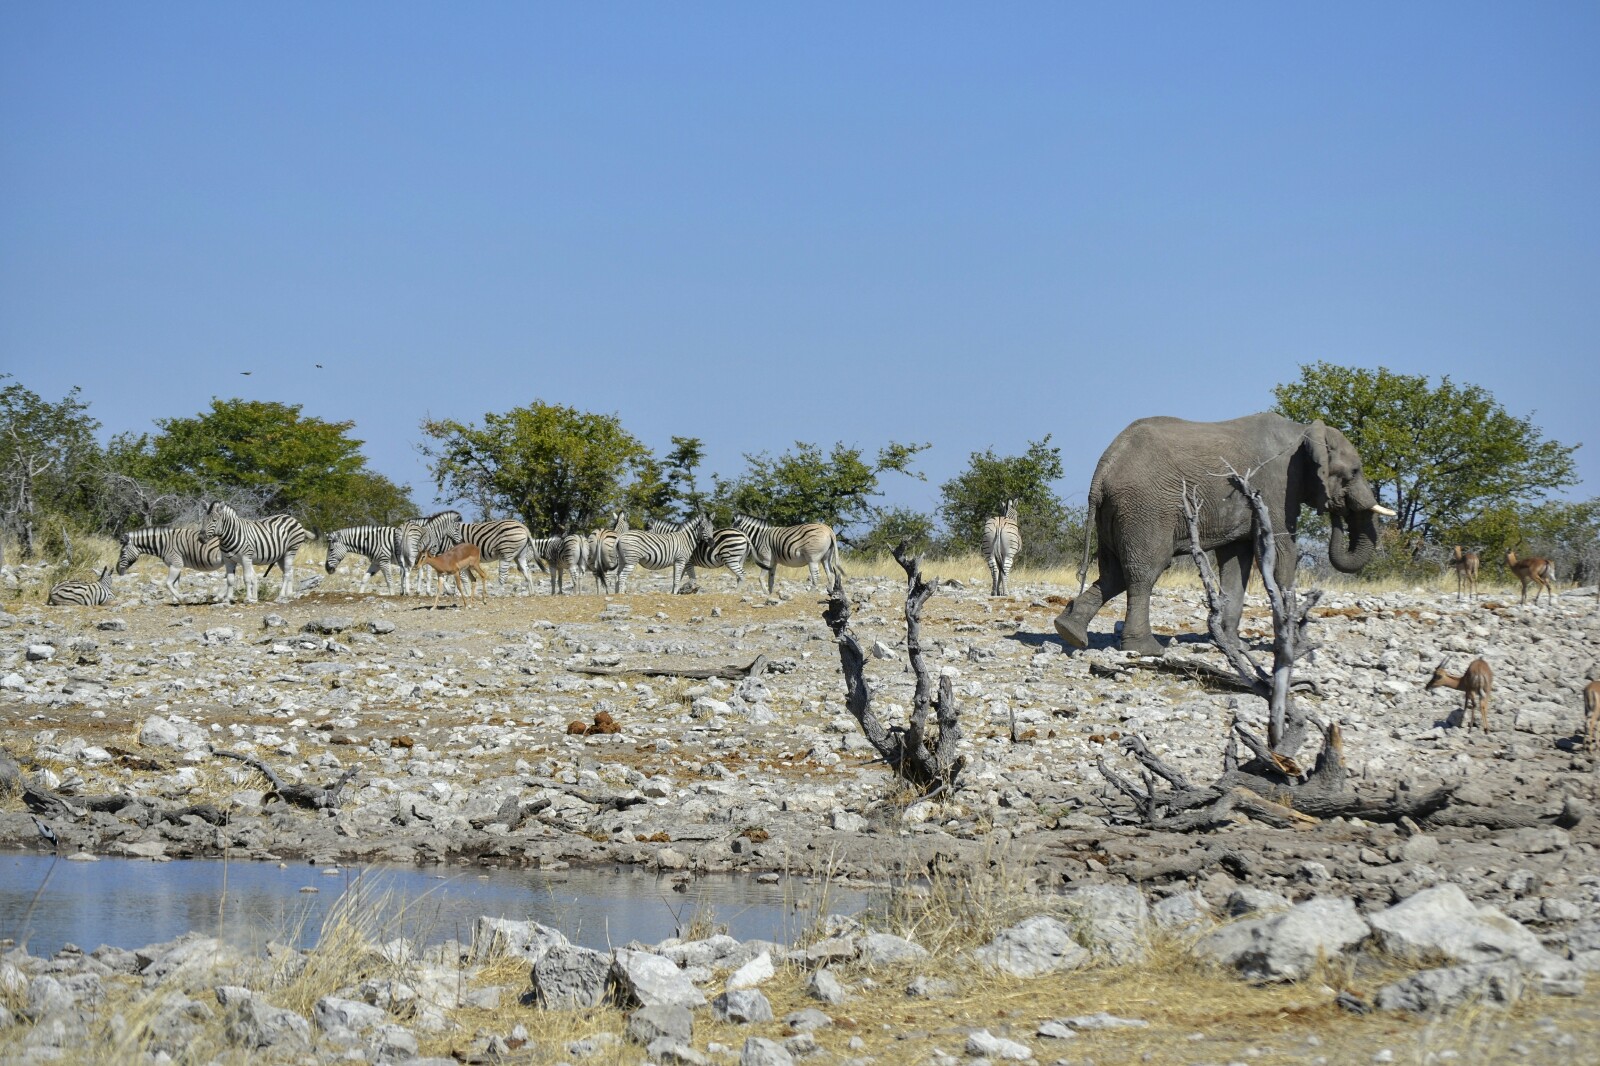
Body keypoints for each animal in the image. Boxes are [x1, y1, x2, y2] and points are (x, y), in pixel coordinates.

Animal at [1053, 412, 1394, 656]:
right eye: (1354, 472)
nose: (1337, 510)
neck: (1304, 430)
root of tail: (1104, 468)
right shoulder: (1275, 487)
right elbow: (1282, 553)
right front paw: (1296, 649)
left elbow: (1236, 561)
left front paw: (1232, 646)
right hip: (1145, 507)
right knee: (1145, 571)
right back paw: (1147, 649)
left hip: (1115, 511)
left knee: (1114, 573)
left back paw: (1069, 631)